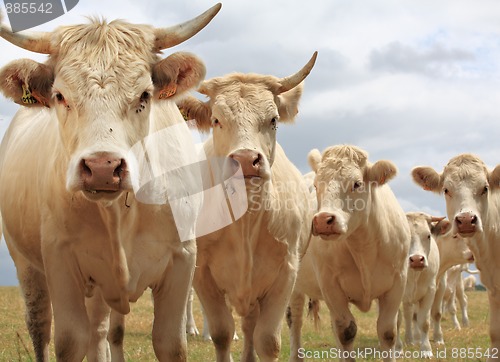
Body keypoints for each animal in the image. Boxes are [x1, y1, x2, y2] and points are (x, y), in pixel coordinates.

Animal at [0, 4, 221, 360]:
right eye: (60, 95)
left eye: (145, 95)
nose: (102, 167)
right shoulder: (60, 263)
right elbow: (70, 341)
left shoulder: (182, 260)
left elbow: (169, 342)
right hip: (27, 266)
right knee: (41, 328)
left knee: (100, 330)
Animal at [177, 51, 316, 362]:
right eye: (216, 120)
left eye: (273, 119)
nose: (244, 160)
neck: (246, 221)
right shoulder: (203, 274)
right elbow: (222, 333)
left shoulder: (285, 274)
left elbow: (268, 340)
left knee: (290, 319)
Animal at [288, 146, 412, 360]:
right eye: (317, 185)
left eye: (357, 183)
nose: (322, 220)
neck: (364, 248)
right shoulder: (330, 285)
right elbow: (346, 331)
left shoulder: (397, 282)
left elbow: (388, 332)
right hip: (295, 284)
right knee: (295, 319)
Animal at [396, 214, 448, 358]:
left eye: (428, 235)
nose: (417, 260)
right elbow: (395, 322)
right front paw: (396, 349)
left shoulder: (429, 292)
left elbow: (424, 321)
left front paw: (425, 350)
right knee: (408, 316)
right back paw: (409, 339)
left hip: (440, 286)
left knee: (435, 314)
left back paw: (436, 338)